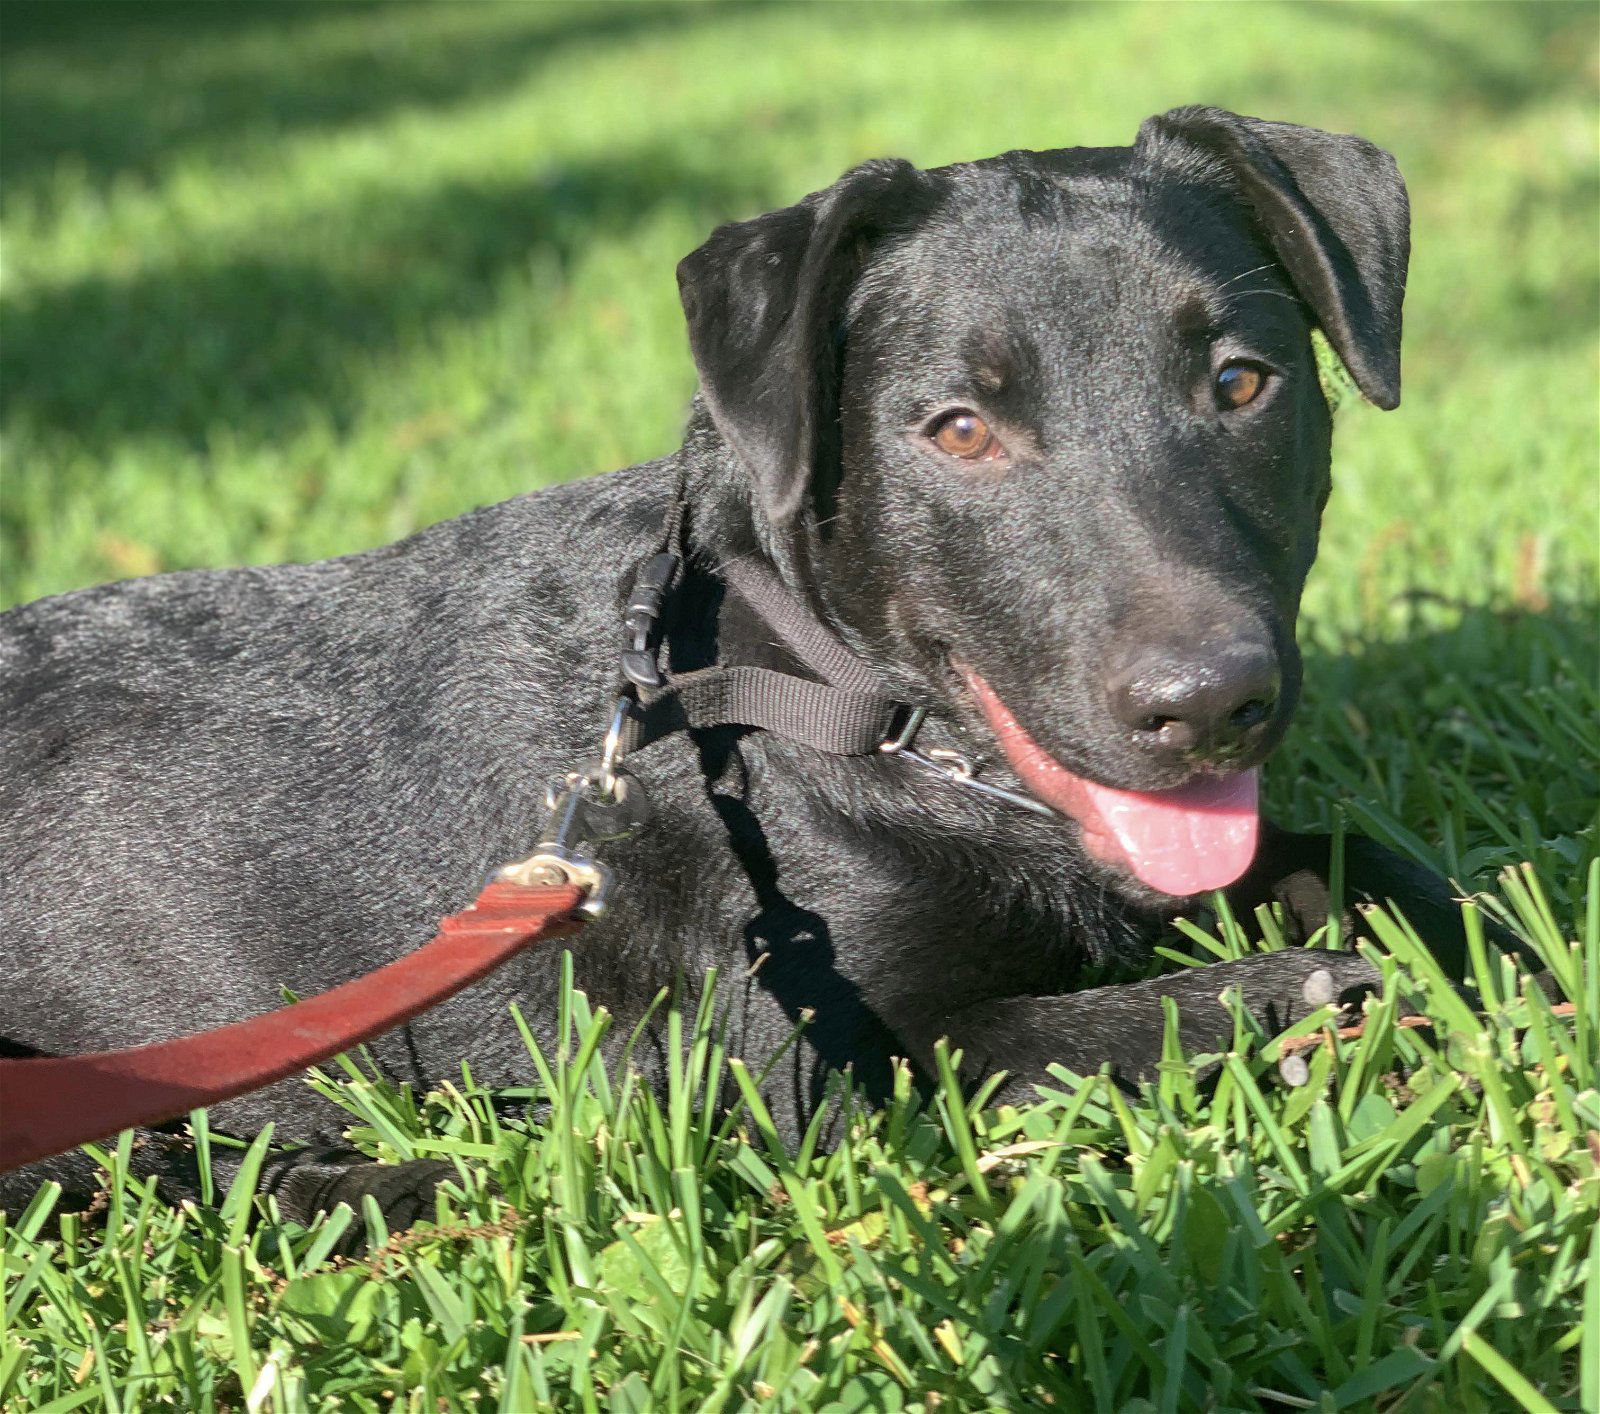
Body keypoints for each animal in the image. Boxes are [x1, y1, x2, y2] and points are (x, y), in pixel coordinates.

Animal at [0, 104, 1465, 1222]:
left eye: (1241, 383)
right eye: (959, 428)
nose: (1212, 705)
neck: (832, 701)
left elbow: (1381, 864)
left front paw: (1476, 940)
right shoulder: (810, 1064)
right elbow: (1080, 1027)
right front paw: (1299, 995)